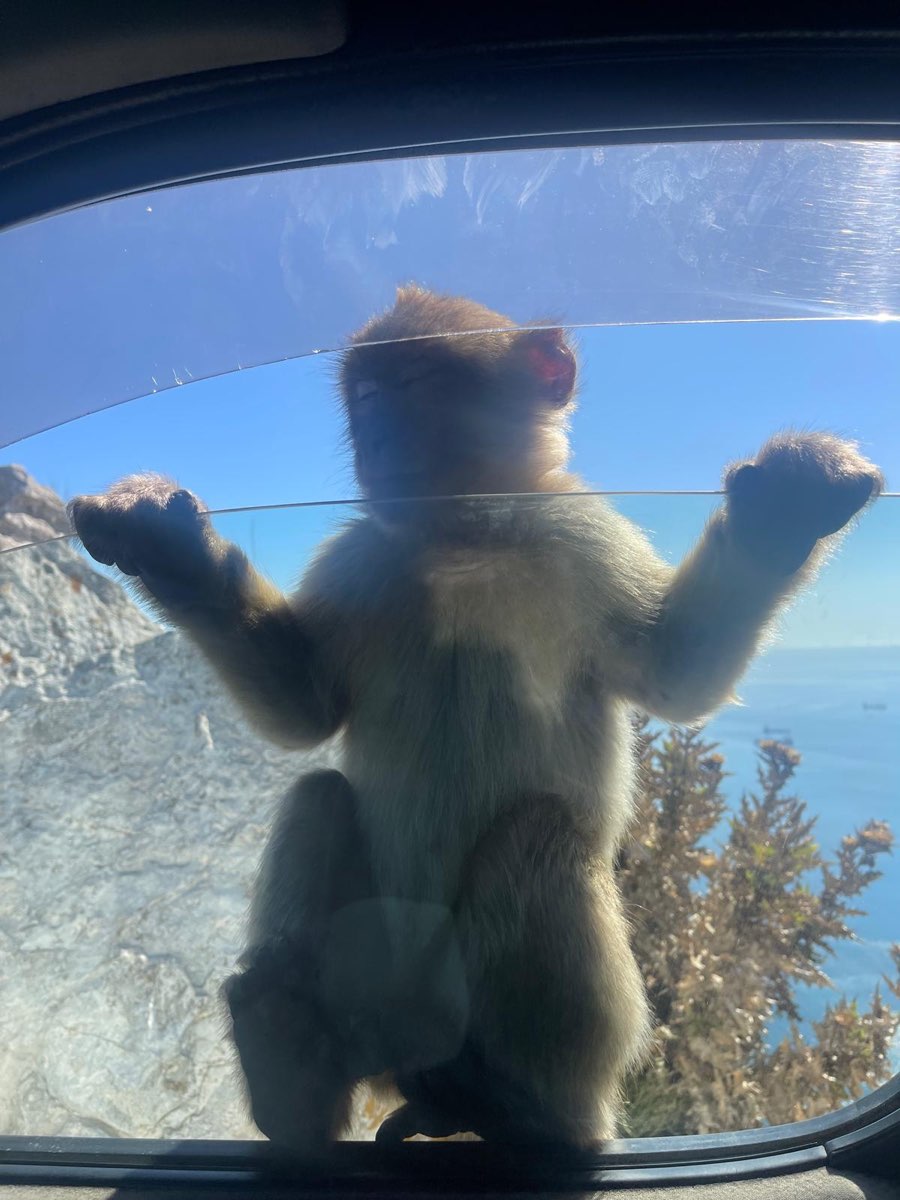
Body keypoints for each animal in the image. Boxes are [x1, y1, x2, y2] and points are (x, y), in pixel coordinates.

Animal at [68, 286, 884, 1154]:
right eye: (364, 397)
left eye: (415, 383)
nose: (375, 435)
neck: (464, 538)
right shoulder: (366, 557)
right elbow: (304, 707)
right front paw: (169, 547)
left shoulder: (582, 534)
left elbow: (675, 674)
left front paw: (781, 514)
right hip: (378, 986)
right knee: (321, 798)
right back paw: (298, 1076)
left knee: (539, 840)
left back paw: (521, 1109)